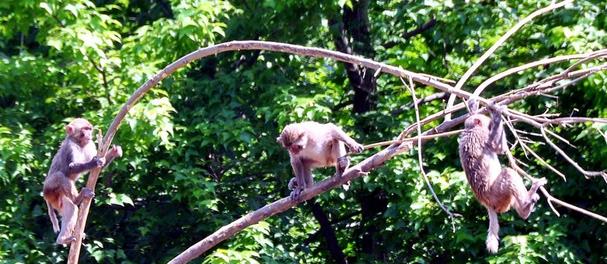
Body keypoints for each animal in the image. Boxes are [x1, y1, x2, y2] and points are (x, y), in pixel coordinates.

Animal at [458, 103, 548, 254]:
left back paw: (526, 207)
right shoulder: (483, 136)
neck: (471, 130)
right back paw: (525, 204)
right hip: (497, 195)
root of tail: (486, 202)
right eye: (489, 125)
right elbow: (499, 147)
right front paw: (497, 113)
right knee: (509, 173)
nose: (491, 125)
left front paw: (474, 105)